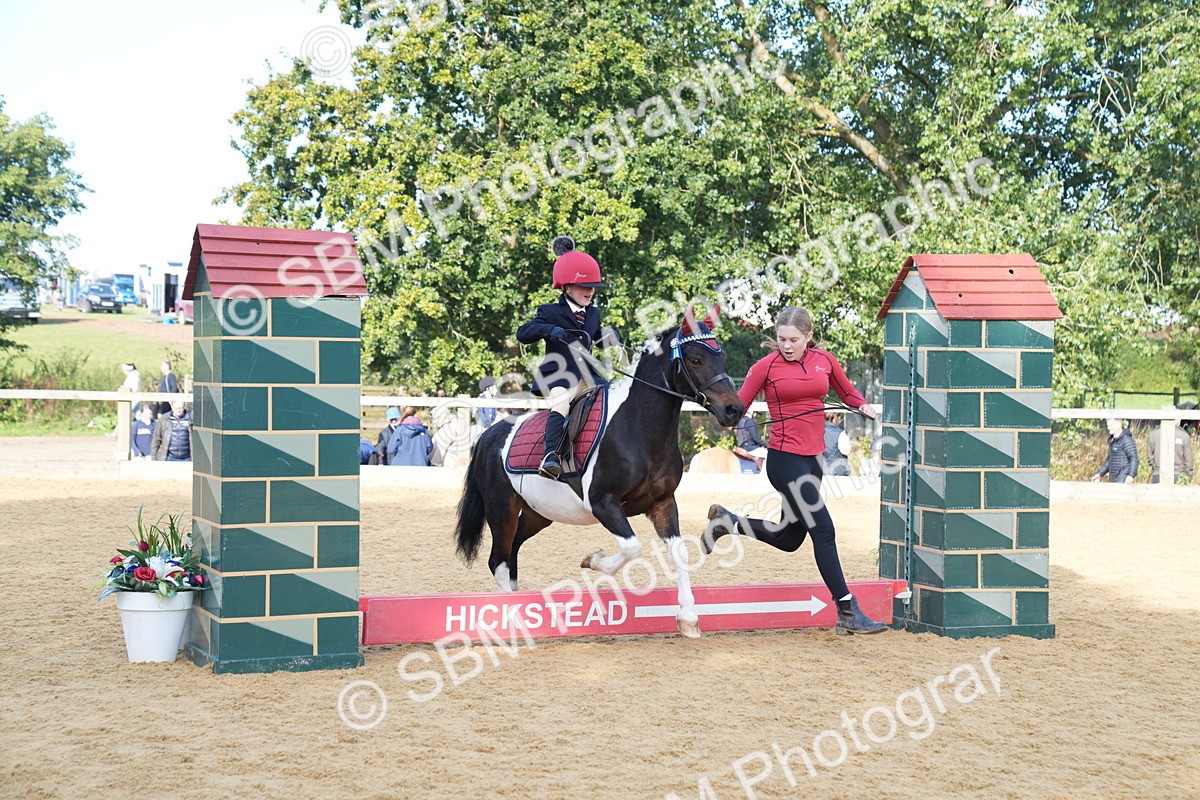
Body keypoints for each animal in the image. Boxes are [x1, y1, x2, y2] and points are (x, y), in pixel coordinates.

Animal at [453, 311, 745, 637]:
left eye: (721, 356)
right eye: (696, 359)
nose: (734, 409)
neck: (639, 430)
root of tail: (489, 435)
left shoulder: (663, 503)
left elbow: (679, 553)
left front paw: (689, 618)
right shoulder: (603, 503)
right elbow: (631, 547)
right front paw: (593, 560)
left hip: (537, 514)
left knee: (512, 552)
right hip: (501, 510)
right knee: (499, 562)